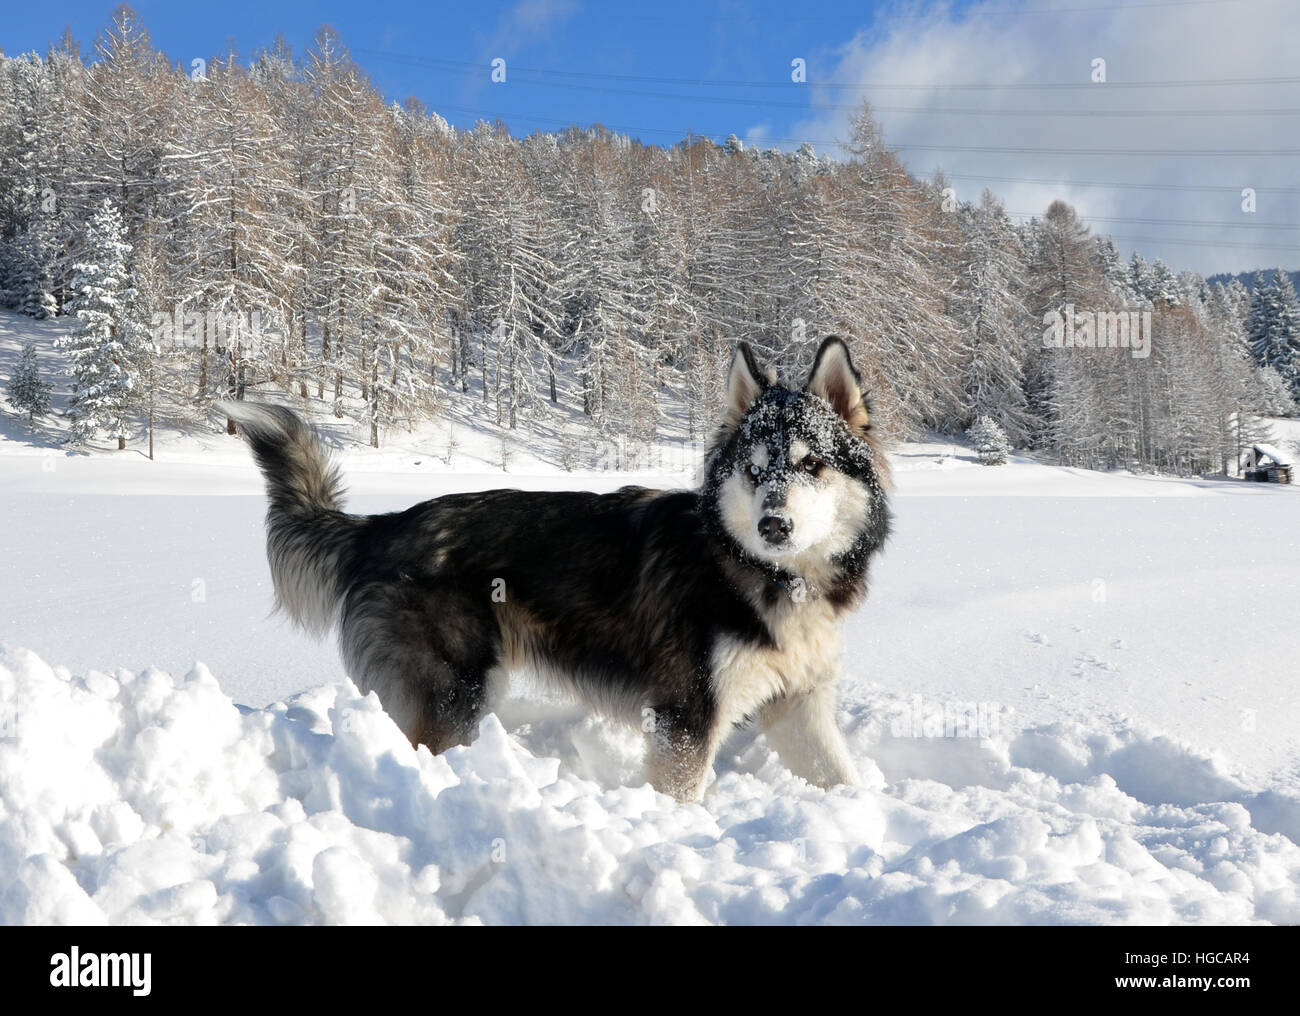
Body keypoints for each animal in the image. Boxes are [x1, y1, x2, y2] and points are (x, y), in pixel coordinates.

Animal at [226, 340, 894, 805]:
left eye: (812, 465)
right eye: (754, 471)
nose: (773, 525)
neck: (769, 577)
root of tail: (382, 525)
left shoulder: (797, 705)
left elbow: (843, 778)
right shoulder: (685, 718)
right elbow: (682, 797)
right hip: (455, 692)